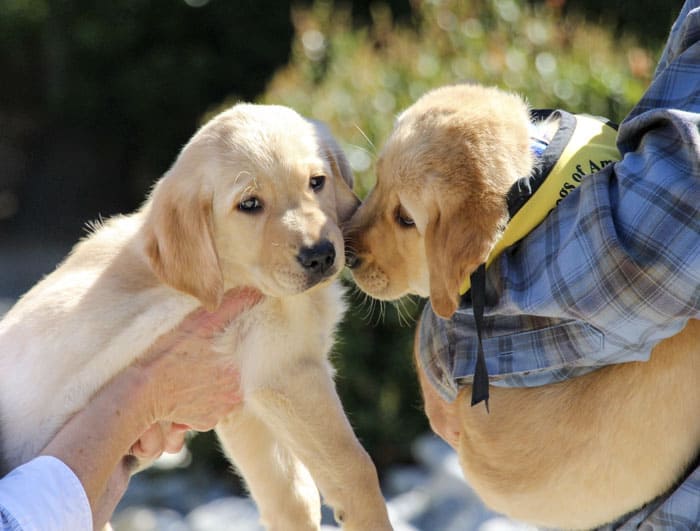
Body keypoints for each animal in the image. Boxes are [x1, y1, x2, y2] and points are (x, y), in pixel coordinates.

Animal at [0, 104, 394, 531]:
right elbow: (355, 468)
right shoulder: (286, 370)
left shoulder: (244, 403)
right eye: (249, 204)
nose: (320, 255)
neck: (233, 275)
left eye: (316, 182)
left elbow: (289, 497)